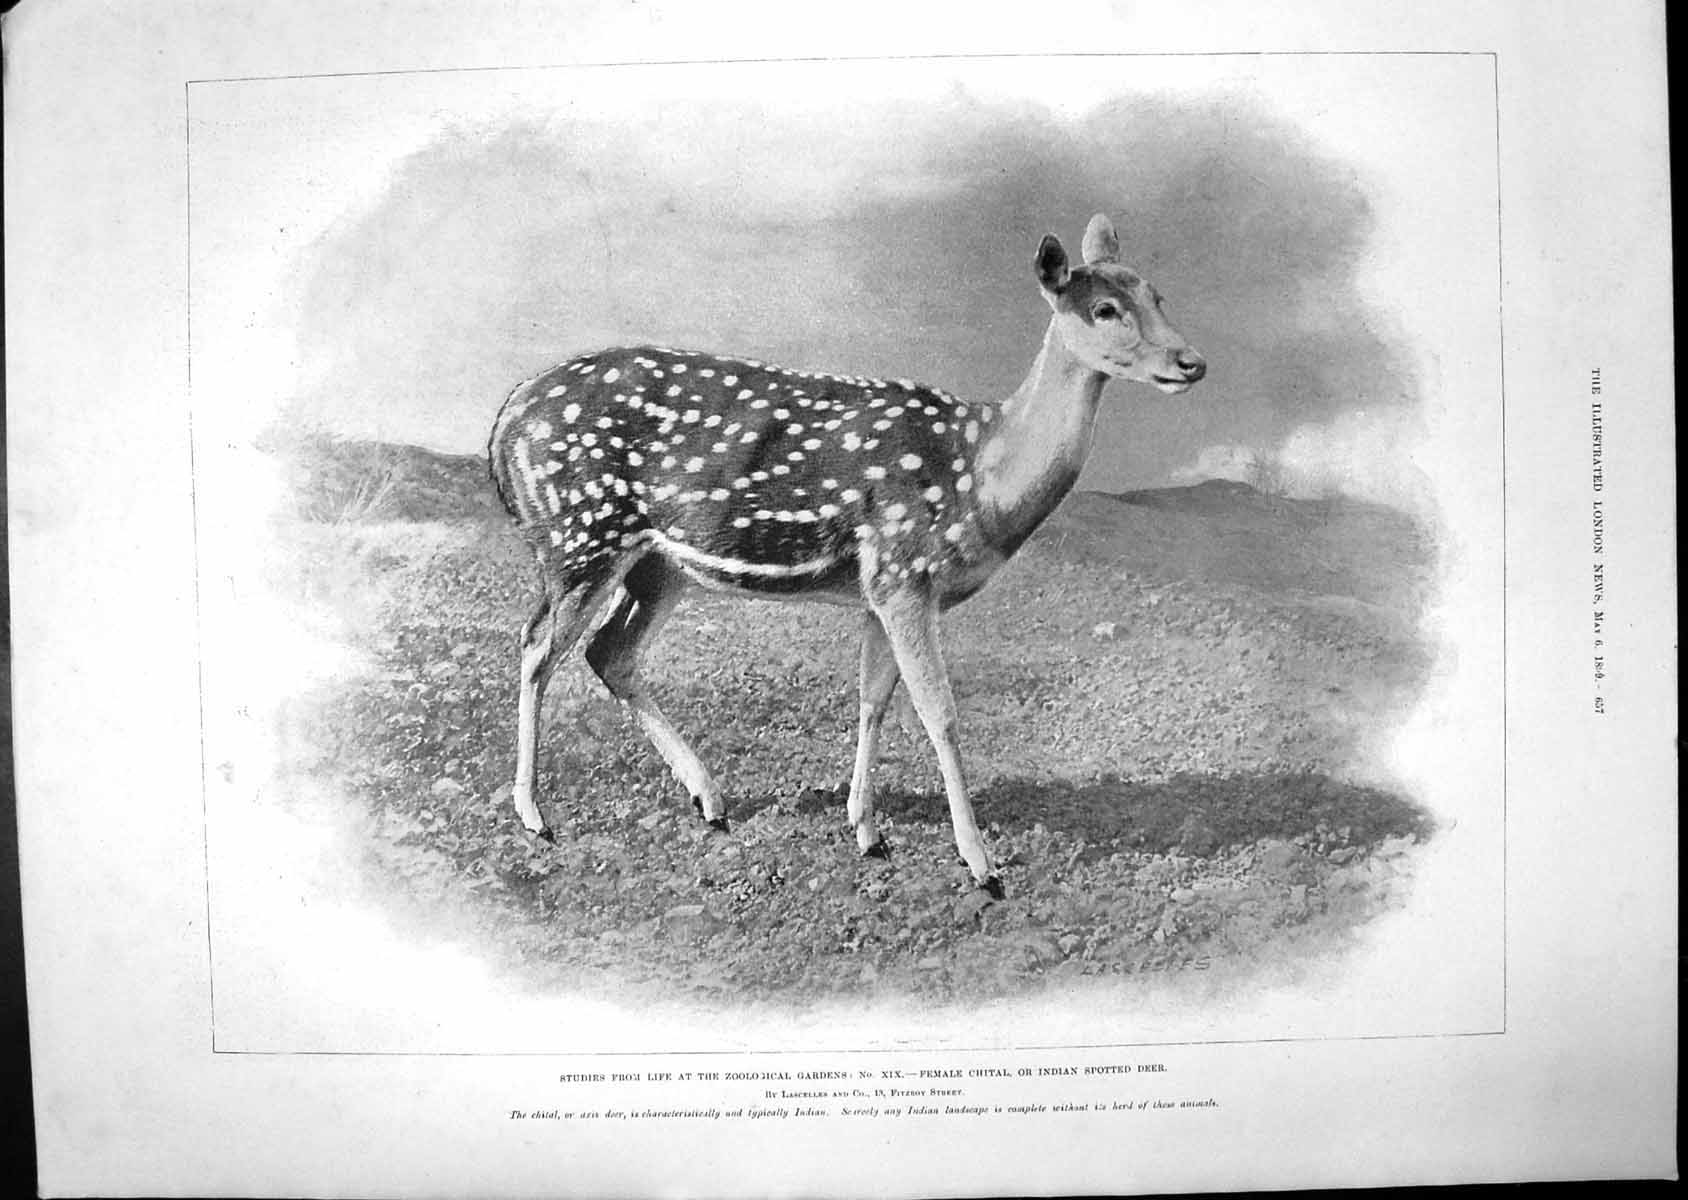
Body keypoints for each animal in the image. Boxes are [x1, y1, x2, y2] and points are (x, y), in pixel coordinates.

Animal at [487, 213, 1205, 897]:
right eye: (1104, 309)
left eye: (1157, 294)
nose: (1192, 361)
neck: (982, 477)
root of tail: (506, 418)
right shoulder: (904, 569)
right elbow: (940, 713)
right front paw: (981, 864)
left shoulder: (878, 590)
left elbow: (873, 699)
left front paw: (866, 831)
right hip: (580, 535)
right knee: (537, 646)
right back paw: (534, 814)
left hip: (658, 563)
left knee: (608, 651)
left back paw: (709, 799)